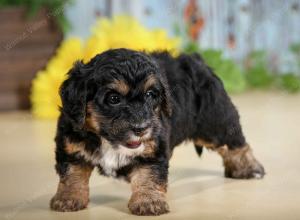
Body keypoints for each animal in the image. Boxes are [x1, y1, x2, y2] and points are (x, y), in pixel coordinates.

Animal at [50, 48, 264, 215]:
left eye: (151, 94)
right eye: (113, 99)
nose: (141, 128)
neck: (107, 139)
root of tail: (197, 61)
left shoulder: (153, 148)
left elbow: (148, 175)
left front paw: (148, 201)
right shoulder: (71, 144)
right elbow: (72, 173)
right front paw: (68, 198)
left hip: (215, 121)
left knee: (235, 143)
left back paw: (249, 168)